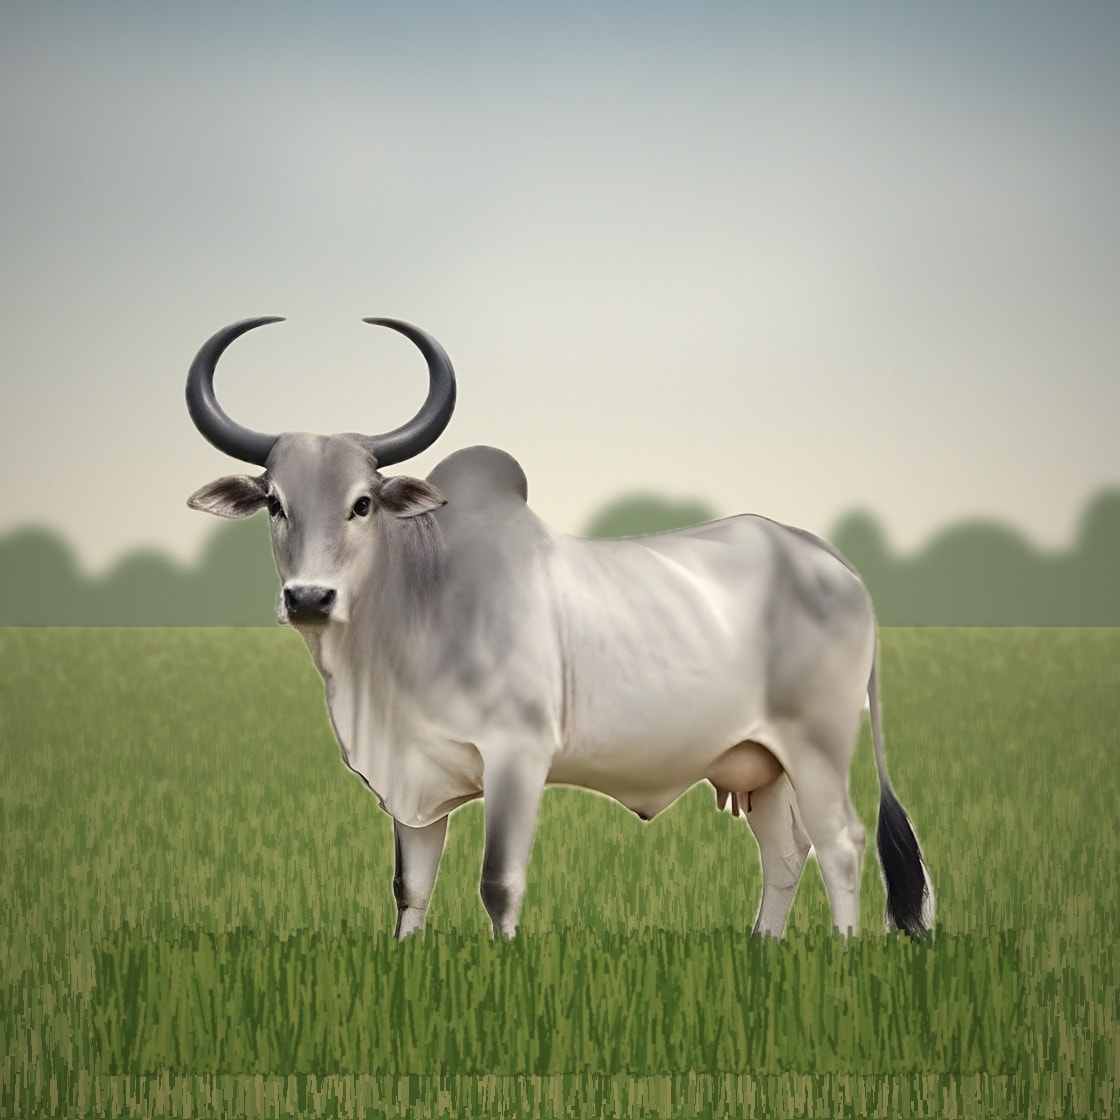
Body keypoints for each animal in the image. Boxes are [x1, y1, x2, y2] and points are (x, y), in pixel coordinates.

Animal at [186, 316, 933, 941]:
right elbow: (411, 888)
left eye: (362, 503)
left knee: (841, 845)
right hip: (761, 764)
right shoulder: (414, 783)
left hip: (817, 747)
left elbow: (498, 883)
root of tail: (831, 560)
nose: (309, 598)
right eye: (275, 504)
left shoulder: (518, 756)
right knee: (784, 854)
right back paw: (763, 950)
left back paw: (842, 954)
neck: (419, 604)